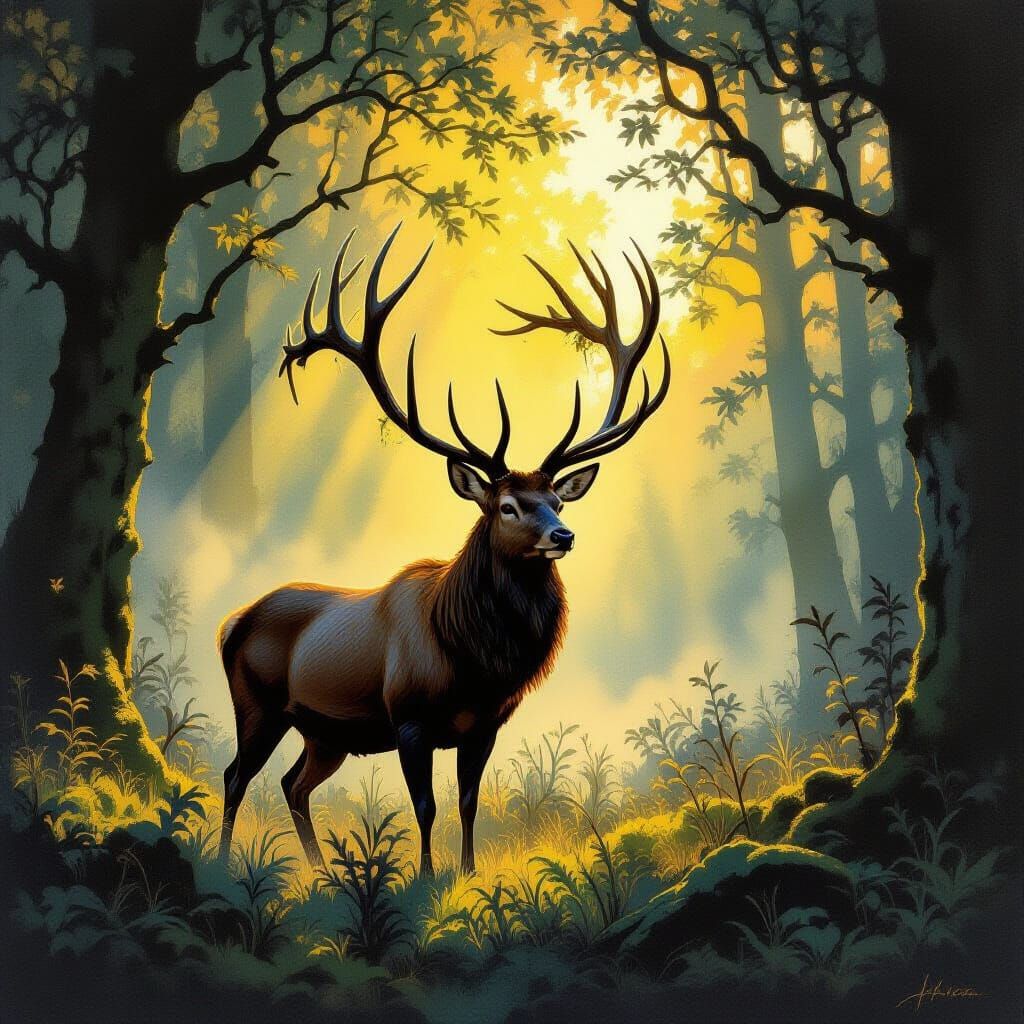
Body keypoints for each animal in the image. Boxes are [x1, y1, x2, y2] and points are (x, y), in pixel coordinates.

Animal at [216, 224, 670, 876]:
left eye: (557, 500)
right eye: (507, 506)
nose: (563, 537)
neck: (473, 660)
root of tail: (231, 623)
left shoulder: (486, 724)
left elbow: (468, 802)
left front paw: (469, 873)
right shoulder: (409, 718)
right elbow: (425, 806)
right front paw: (427, 877)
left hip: (325, 732)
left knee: (292, 784)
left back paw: (321, 871)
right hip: (258, 703)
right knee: (236, 776)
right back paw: (226, 861)